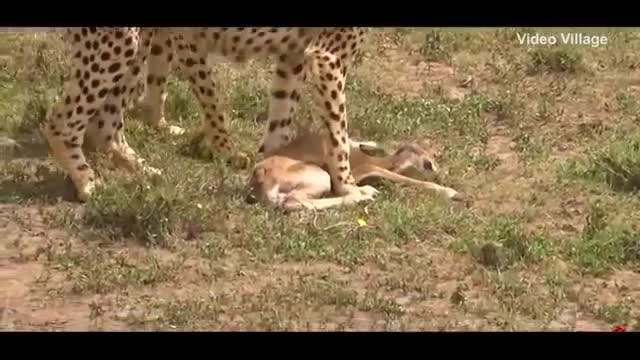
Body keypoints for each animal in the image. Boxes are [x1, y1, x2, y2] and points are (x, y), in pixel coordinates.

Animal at [40, 26, 378, 204]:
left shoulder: (293, 55)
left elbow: (281, 124)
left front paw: (274, 167)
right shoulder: (327, 58)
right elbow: (338, 135)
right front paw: (350, 187)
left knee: (105, 123)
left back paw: (144, 171)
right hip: (119, 43)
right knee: (62, 121)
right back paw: (88, 182)